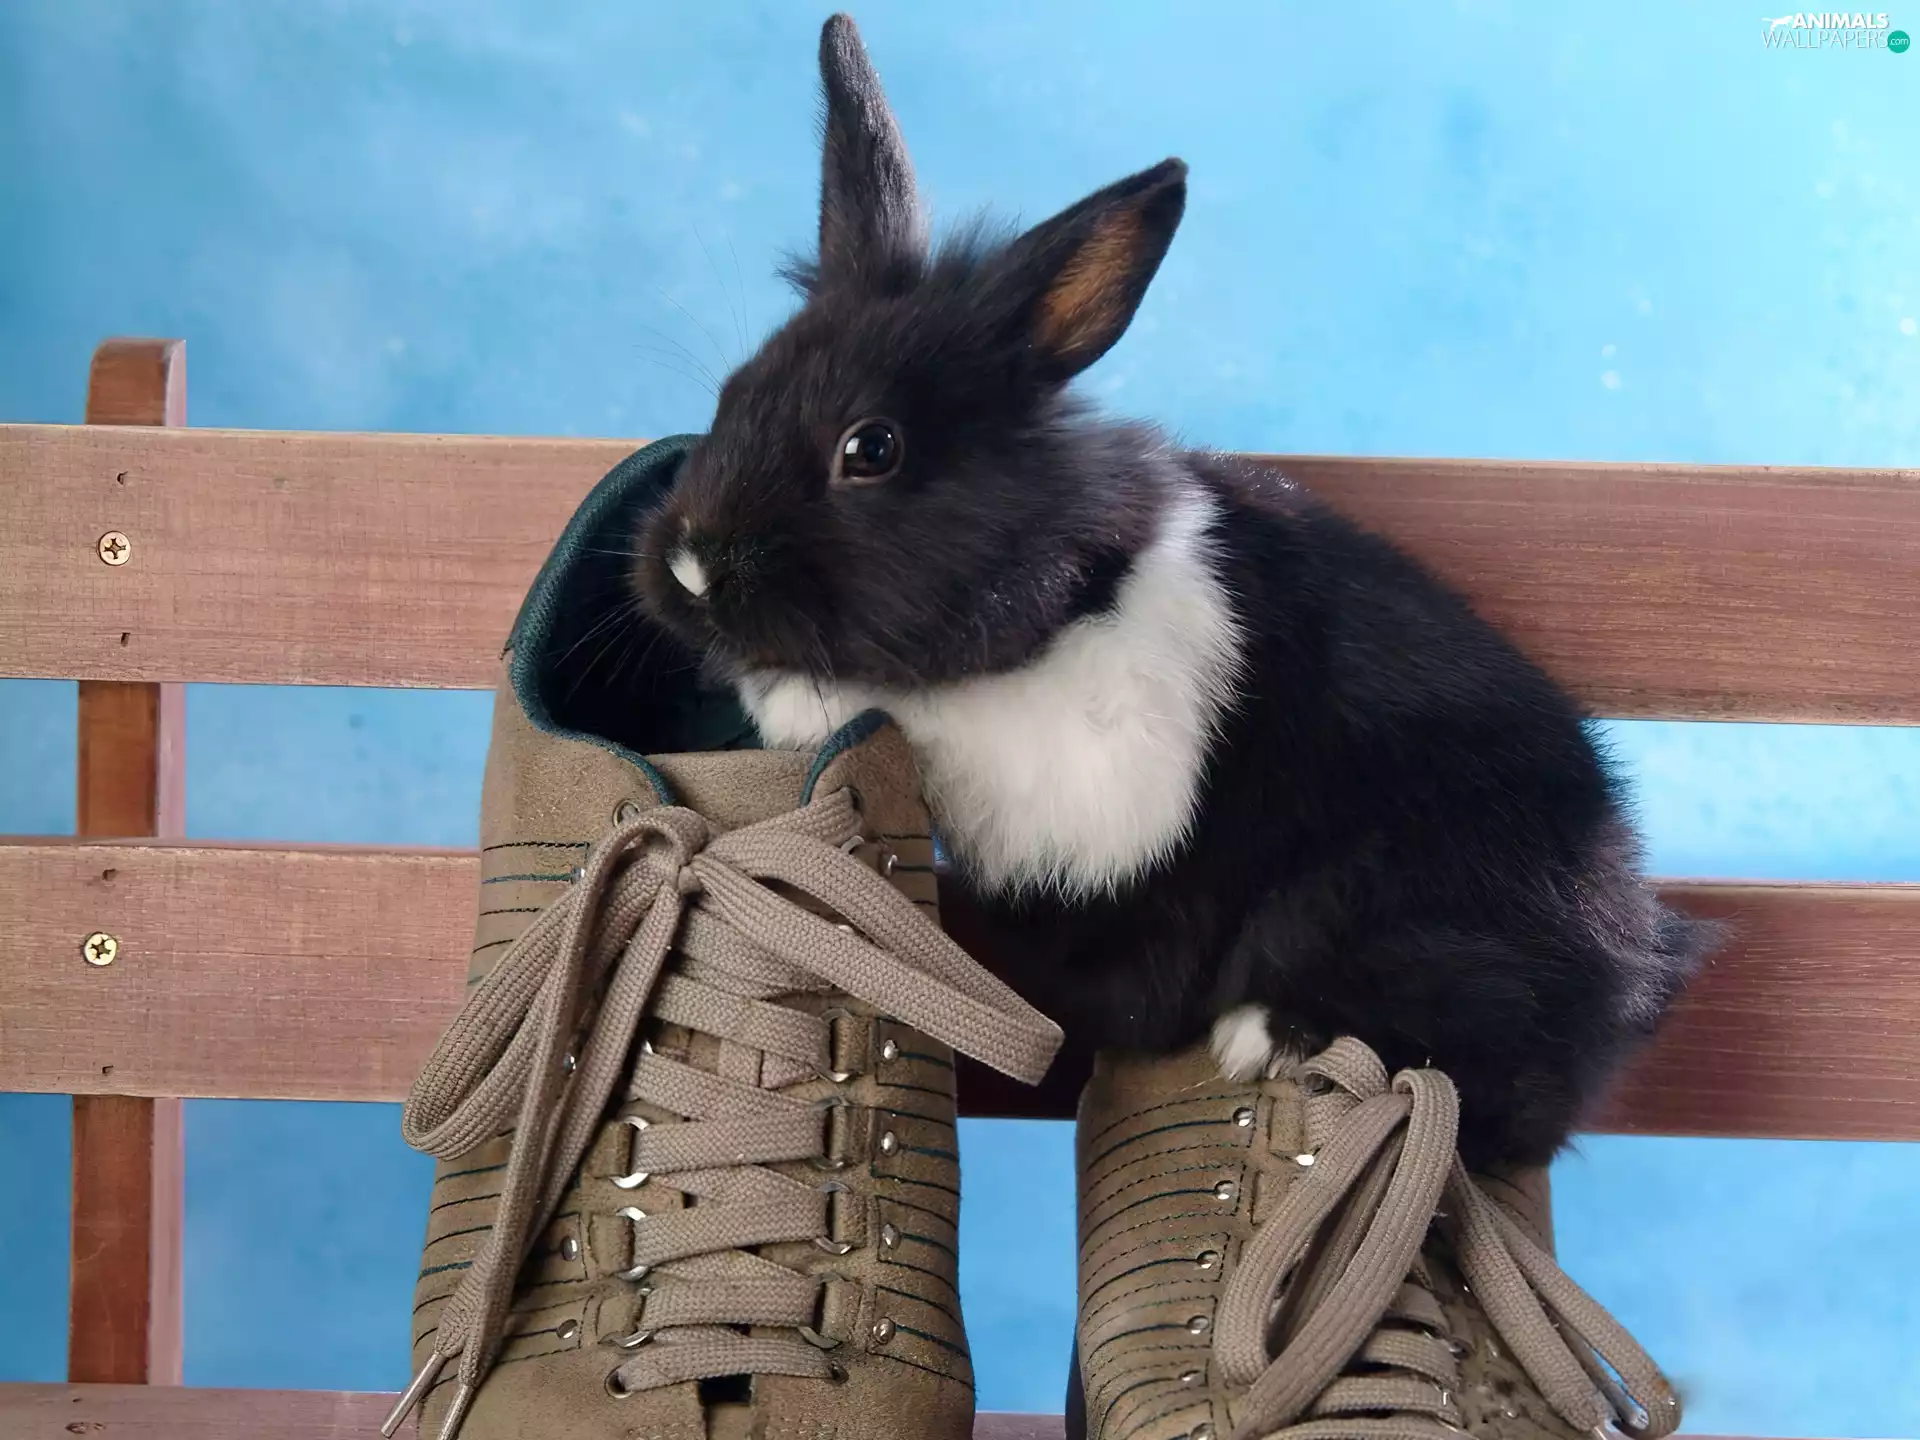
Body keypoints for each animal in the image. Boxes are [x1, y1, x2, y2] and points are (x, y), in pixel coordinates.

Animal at [628, 13, 1714, 1168]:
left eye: (869, 449)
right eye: (734, 391)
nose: (690, 567)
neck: (1070, 596)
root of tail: (1636, 962)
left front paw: (790, 697)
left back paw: (1273, 1033)